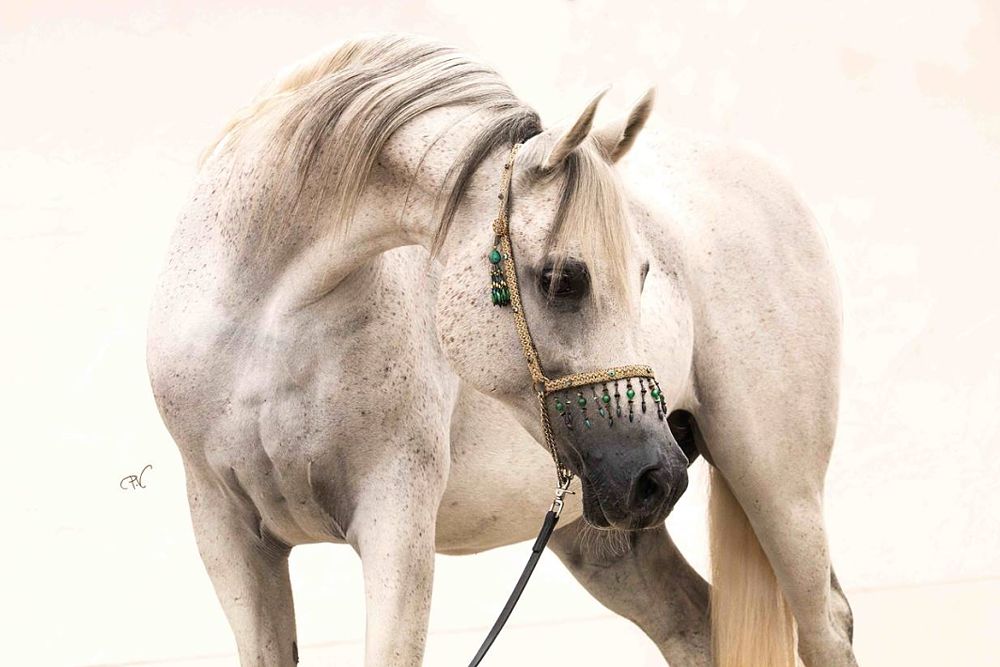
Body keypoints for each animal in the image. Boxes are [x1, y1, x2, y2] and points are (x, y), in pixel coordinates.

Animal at [146, 34, 858, 667]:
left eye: (644, 275)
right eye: (565, 278)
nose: (659, 476)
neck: (270, 322)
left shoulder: (394, 523)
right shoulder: (229, 536)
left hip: (775, 487)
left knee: (826, 626)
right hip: (606, 532)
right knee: (693, 627)